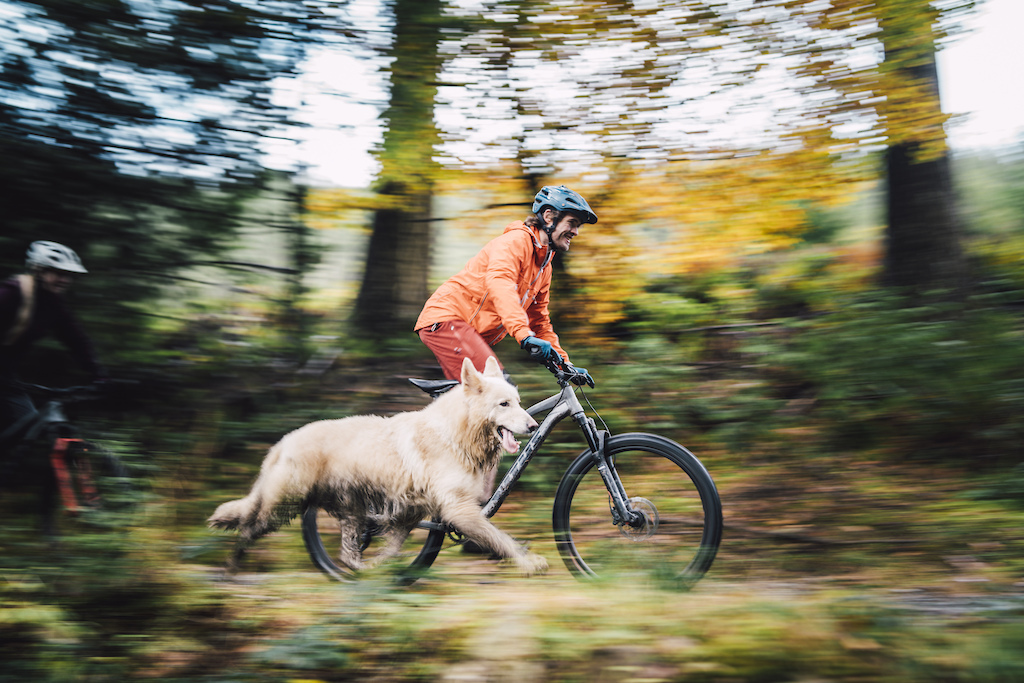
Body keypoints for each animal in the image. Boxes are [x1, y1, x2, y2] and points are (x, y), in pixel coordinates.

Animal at [206, 358, 544, 577]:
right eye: (504, 404)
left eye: (517, 401)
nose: (533, 426)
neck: (454, 436)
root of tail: (282, 443)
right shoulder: (458, 510)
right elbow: (502, 539)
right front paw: (528, 562)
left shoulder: (412, 513)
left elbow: (391, 549)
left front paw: (388, 568)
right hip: (285, 506)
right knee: (249, 528)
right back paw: (230, 567)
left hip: (351, 510)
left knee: (347, 553)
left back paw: (362, 571)